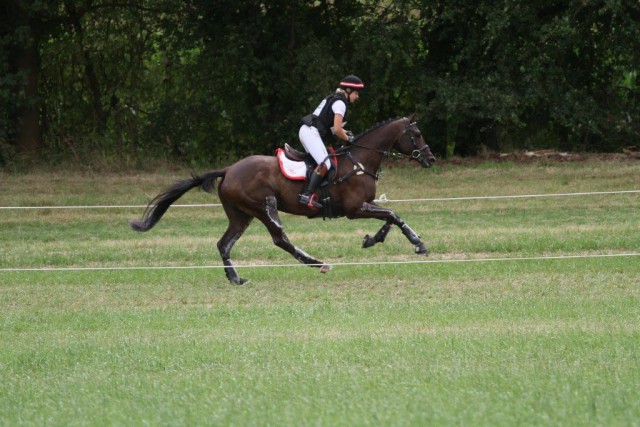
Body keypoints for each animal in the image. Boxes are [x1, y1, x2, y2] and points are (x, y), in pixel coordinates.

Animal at [132, 115, 438, 286]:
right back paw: (318, 263)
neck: (359, 160)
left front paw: (372, 239)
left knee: (224, 243)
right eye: (417, 134)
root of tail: (229, 169)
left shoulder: (364, 207)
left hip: (241, 214)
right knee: (280, 239)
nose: (431, 158)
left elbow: (389, 217)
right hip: (264, 207)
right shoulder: (354, 209)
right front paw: (418, 243)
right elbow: (392, 214)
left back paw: (235, 279)